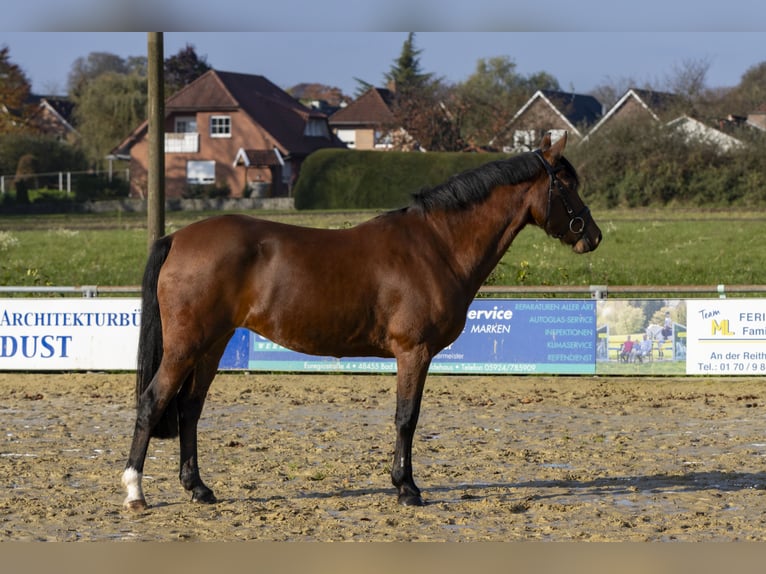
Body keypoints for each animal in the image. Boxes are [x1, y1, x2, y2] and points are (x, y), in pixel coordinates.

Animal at [121, 133, 600, 510]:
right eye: (567, 184)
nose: (592, 236)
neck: (437, 245)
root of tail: (177, 237)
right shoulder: (413, 352)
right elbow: (407, 417)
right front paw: (407, 488)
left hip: (212, 344)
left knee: (189, 408)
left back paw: (198, 488)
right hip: (186, 347)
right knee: (152, 402)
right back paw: (135, 491)